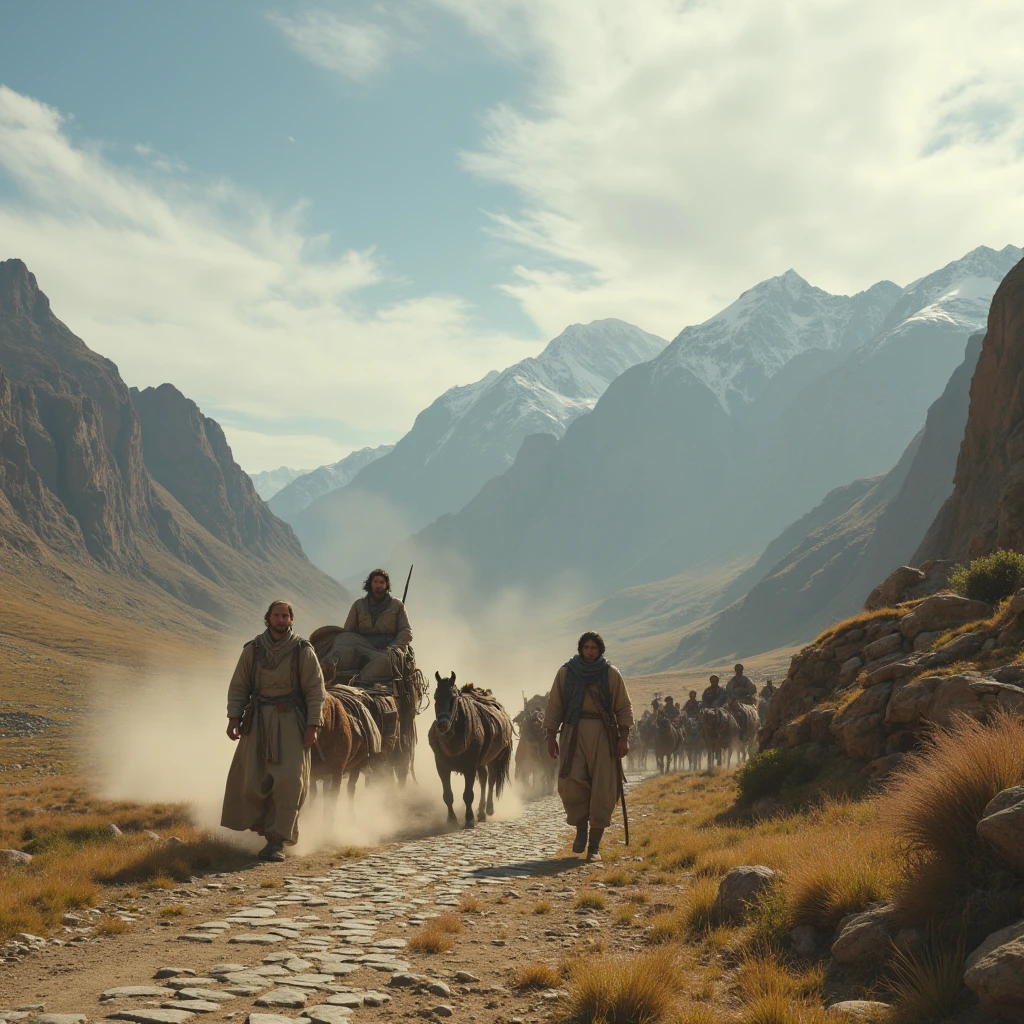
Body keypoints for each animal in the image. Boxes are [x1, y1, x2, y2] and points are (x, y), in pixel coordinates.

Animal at [430, 671, 516, 823]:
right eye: (435, 697)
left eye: (453, 698)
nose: (442, 724)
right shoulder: (442, 767)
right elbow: (447, 795)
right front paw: (451, 819)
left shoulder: (469, 767)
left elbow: (468, 794)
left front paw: (469, 819)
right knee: (484, 779)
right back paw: (481, 812)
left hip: (494, 759)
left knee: (491, 780)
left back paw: (488, 809)